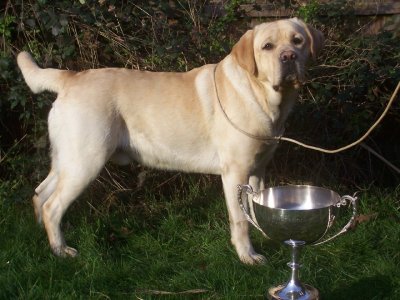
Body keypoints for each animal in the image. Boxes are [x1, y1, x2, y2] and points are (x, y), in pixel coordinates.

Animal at [18, 17, 324, 264]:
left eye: (297, 41)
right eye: (267, 46)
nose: (288, 56)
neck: (261, 95)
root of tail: (71, 77)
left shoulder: (258, 169)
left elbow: (255, 211)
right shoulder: (235, 172)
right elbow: (240, 220)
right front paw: (247, 256)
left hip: (67, 159)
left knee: (40, 194)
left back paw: (43, 240)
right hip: (86, 161)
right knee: (52, 205)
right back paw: (61, 251)